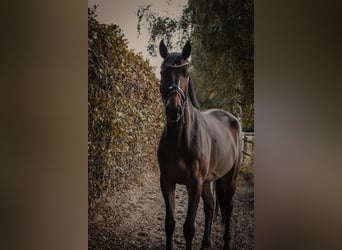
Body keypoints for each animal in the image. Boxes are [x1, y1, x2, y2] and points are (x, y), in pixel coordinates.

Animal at [158, 40, 243, 249]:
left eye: (186, 73)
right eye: (163, 72)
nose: (174, 110)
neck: (180, 139)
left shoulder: (194, 184)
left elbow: (188, 228)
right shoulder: (167, 182)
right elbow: (170, 224)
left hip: (229, 177)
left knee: (228, 207)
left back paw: (227, 243)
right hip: (208, 181)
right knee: (210, 207)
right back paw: (206, 243)